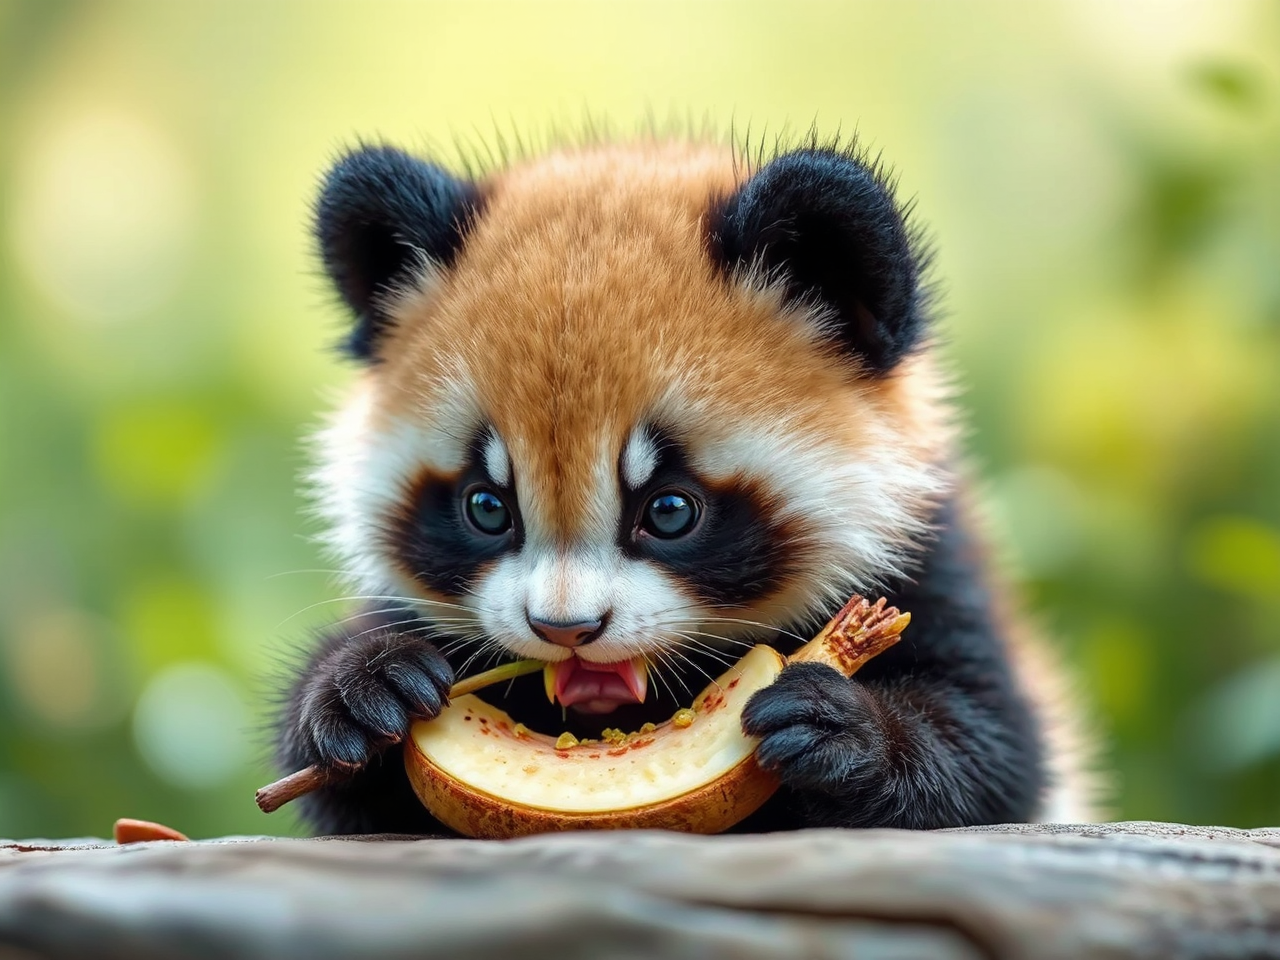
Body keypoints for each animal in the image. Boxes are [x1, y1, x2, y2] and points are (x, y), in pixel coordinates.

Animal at [274, 135, 1096, 835]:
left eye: (669, 511)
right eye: (485, 507)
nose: (565, 630)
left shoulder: (933, 564)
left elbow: (994, 753)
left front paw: (845, 729)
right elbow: (353, 795)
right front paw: (364, 686)